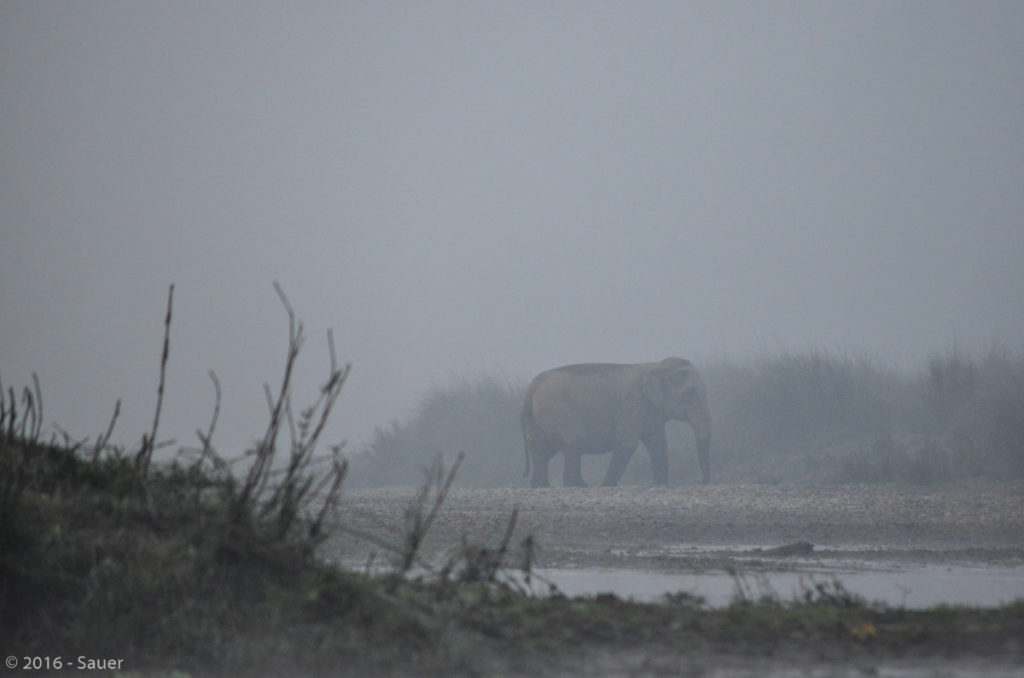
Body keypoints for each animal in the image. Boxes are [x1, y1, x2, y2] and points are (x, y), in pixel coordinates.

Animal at [521, 357, 711, 487]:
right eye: (690, 394)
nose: (699, 481)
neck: (656, 365)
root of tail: (531, 387)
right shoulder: (633, 406)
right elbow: (627, 443)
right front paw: (607, 485)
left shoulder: (651, 413)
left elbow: (658, 444)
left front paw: (659, 484)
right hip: (559, 414)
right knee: (573, 445)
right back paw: (581, 486)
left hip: (536, 421)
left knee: (542, 453)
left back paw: (543, 485)